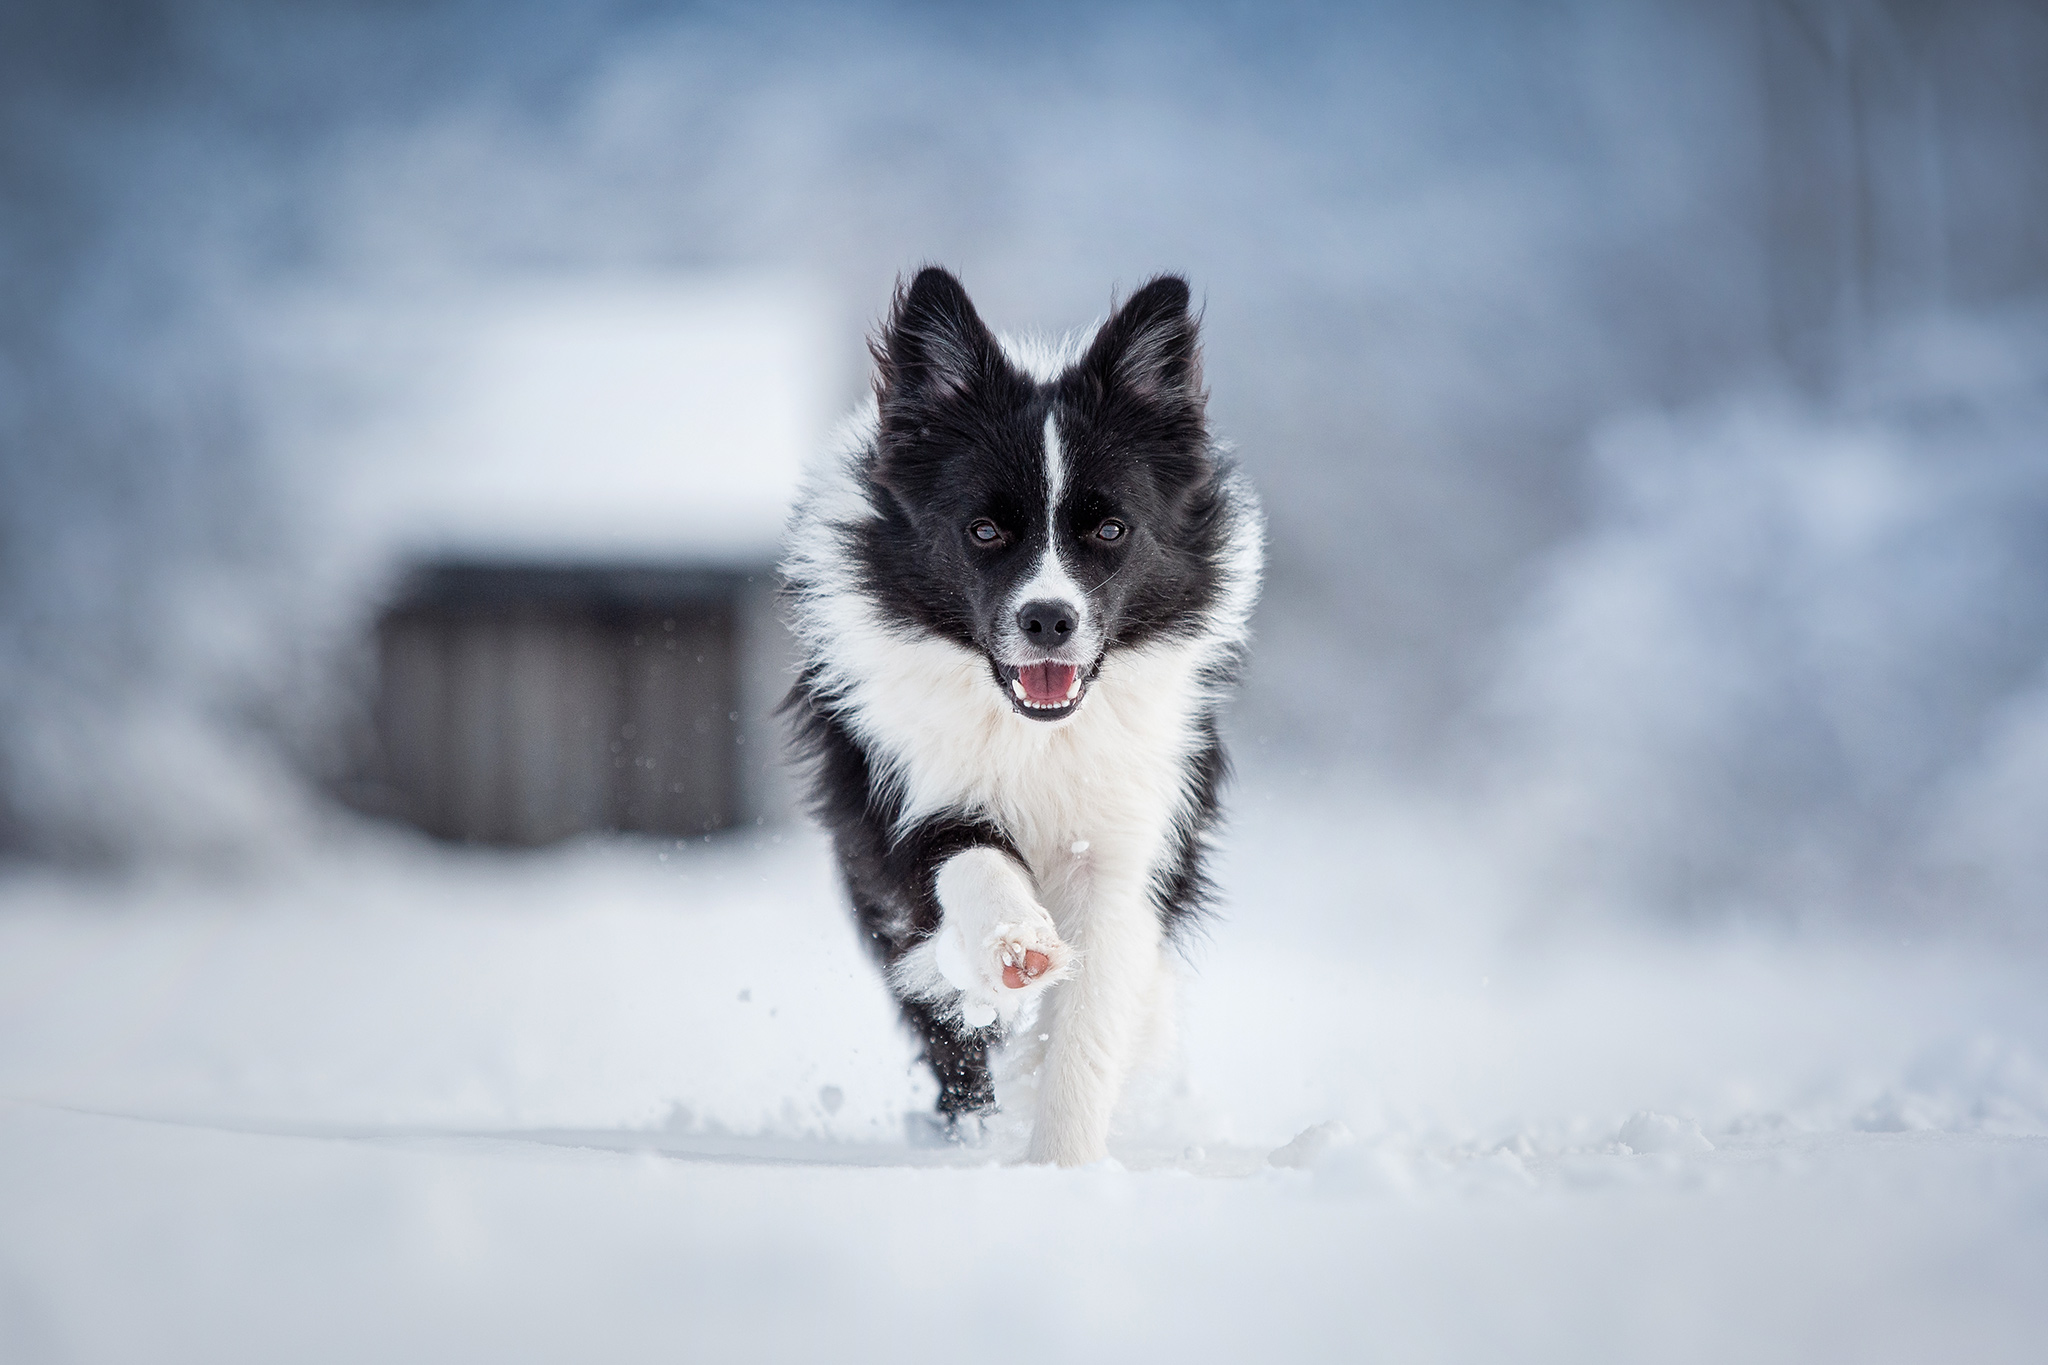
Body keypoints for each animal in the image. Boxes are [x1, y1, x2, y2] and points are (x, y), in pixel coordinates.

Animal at [782, 272, 1261, 1170]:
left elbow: (1089, 1025)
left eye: (1109, 528)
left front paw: (1060, 1170)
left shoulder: (1127, 843)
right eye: (984, 529)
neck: (1038, 730)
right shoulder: (904, 794)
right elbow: (967, 858)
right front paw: (1016, 943)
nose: (1048, 619)